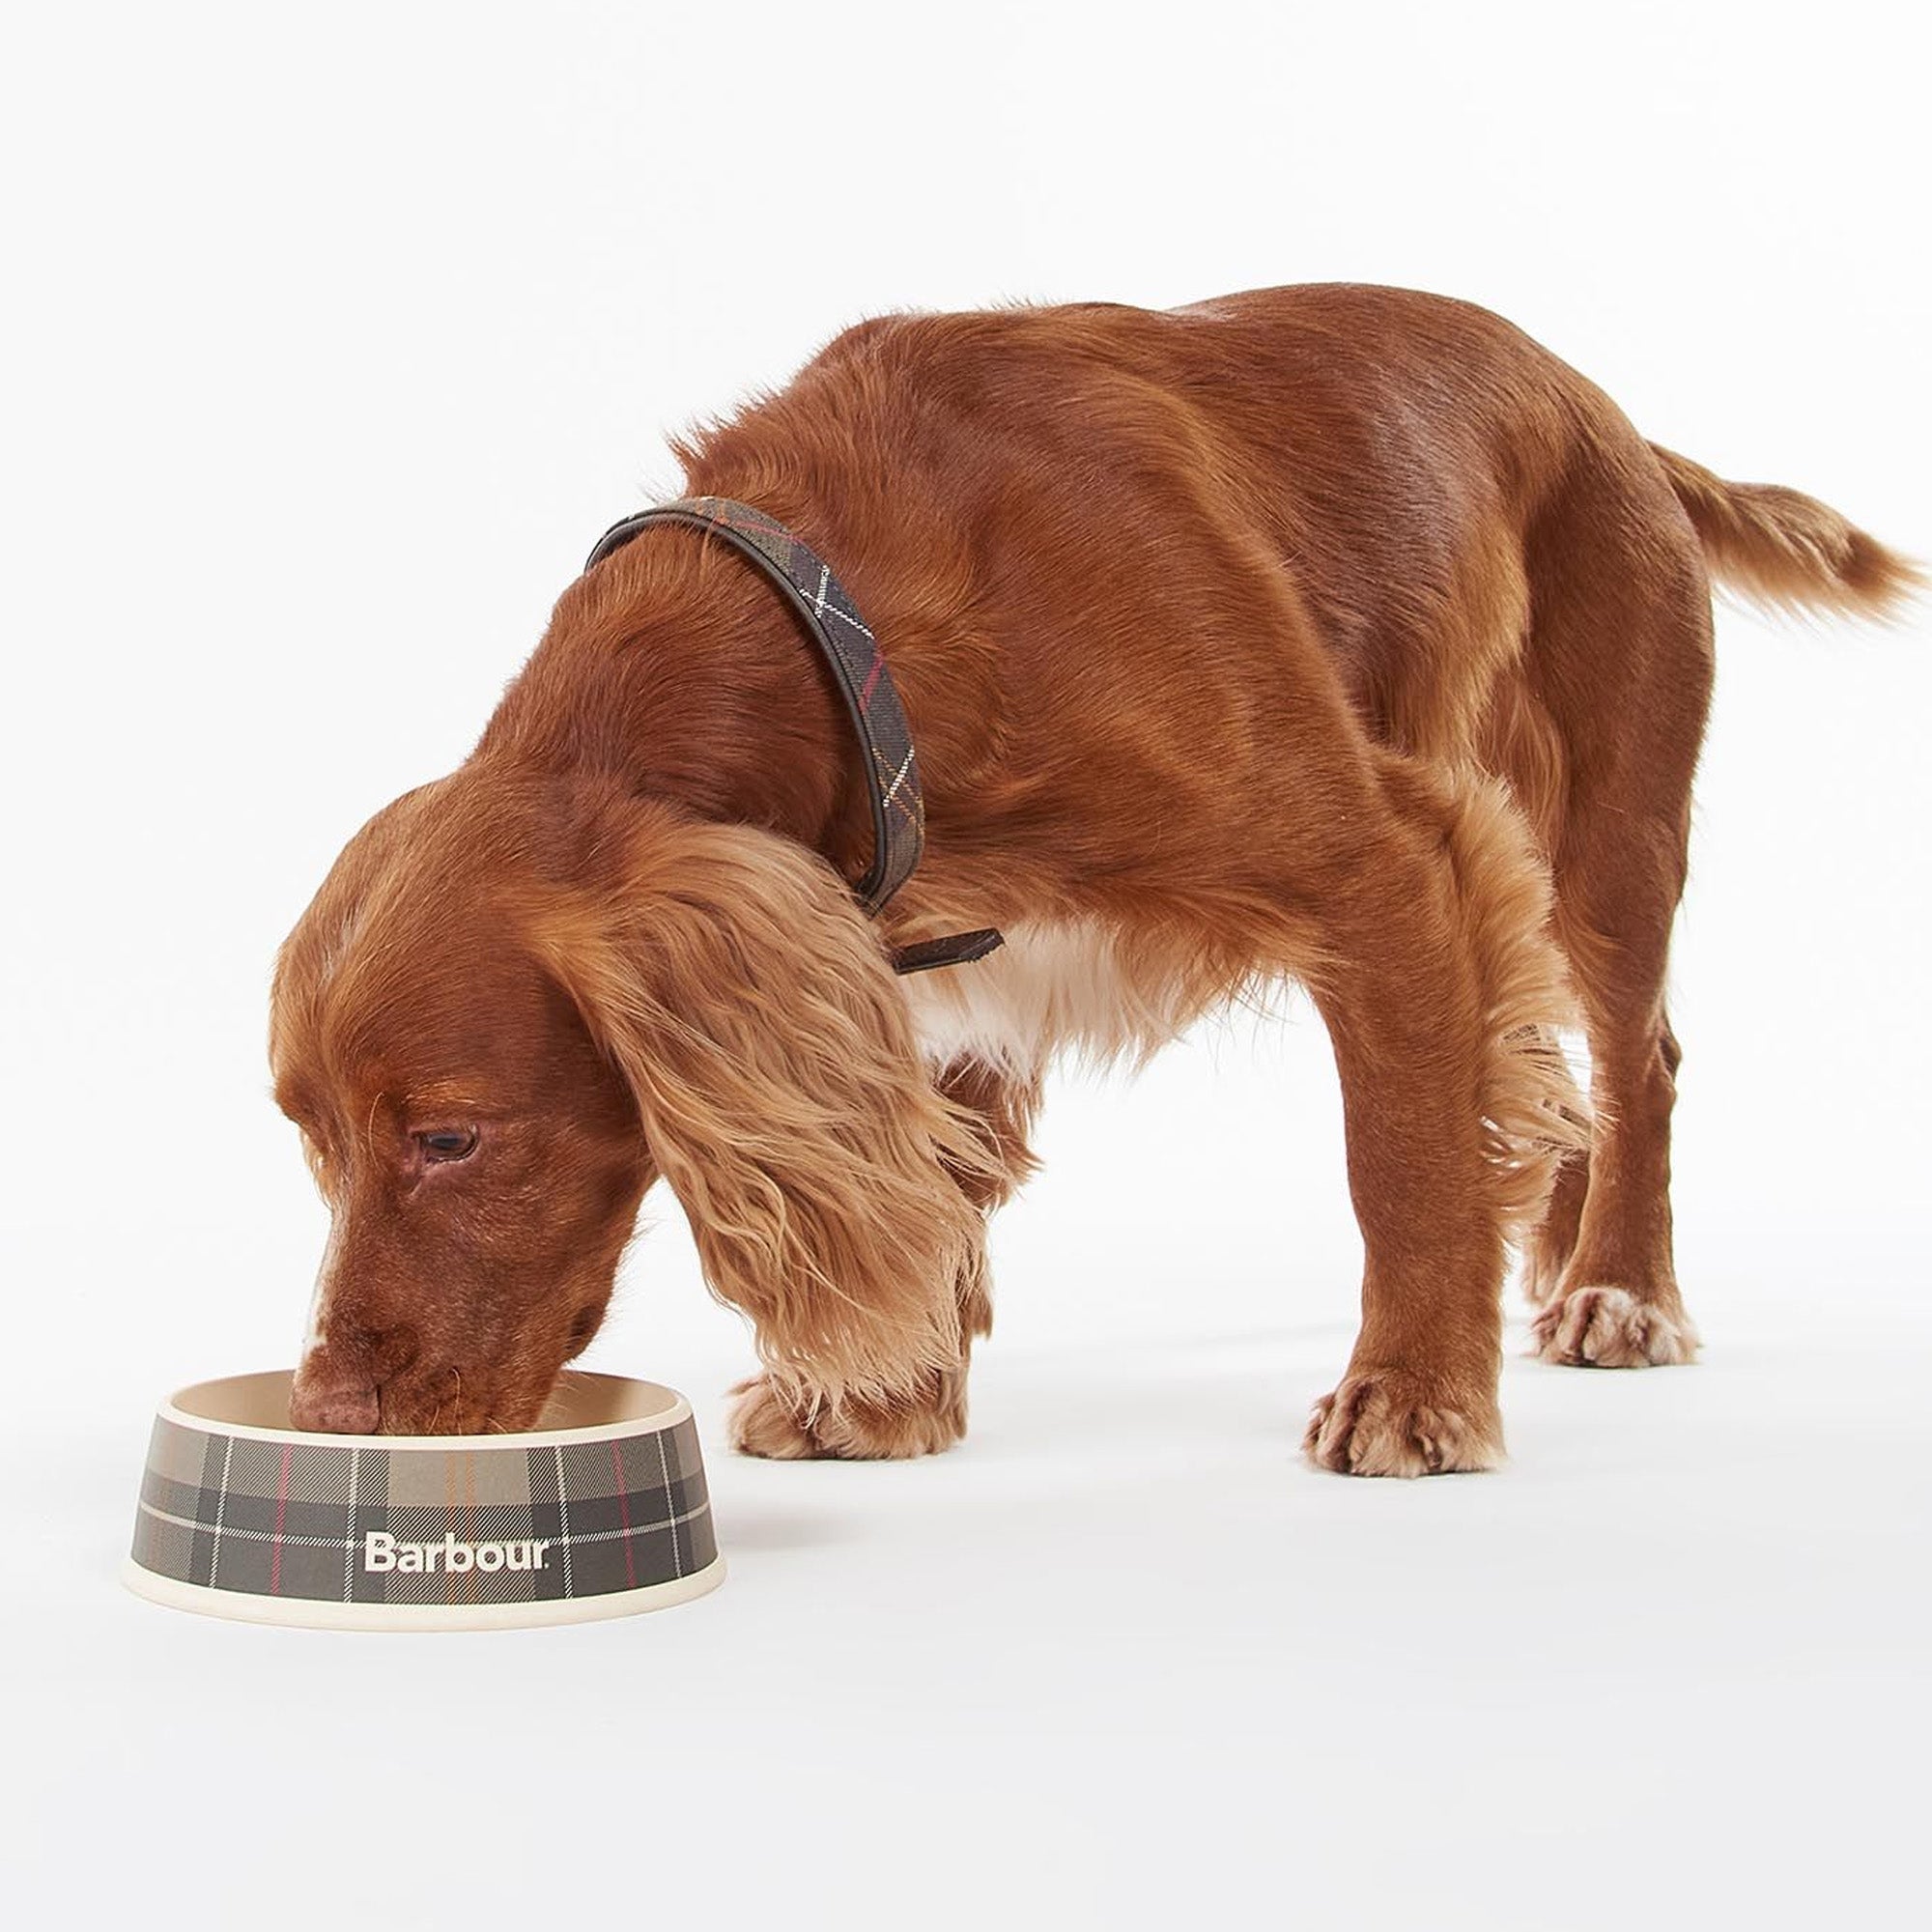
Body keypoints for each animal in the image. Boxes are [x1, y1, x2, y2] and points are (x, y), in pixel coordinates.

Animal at [271, 283, 1914, 1472]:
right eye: (312, 1144)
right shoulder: (926, 957)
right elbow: (938, 1189)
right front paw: (886, 1396)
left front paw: (1414, 1392)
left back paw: (1620, 1285)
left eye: (450, 1140)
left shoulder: (1390, 866)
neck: (847, 629)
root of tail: (1616, 421)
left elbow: (1404, 1160)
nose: (328, 1413)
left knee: (1639, 1059)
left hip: (1606, 838)